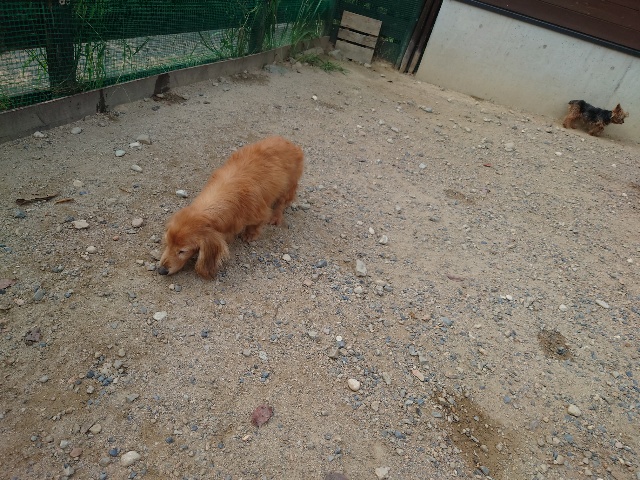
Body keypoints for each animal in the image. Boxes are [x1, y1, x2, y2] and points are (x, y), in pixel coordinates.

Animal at [157, 136, 303, 279]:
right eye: (167, 243)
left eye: (182, 251)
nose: (161, 270)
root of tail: (291, 144)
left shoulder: (260, 213)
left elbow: (255, 225)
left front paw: (250, 235)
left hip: (288, 186)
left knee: (281, 203)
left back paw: (276, 217)